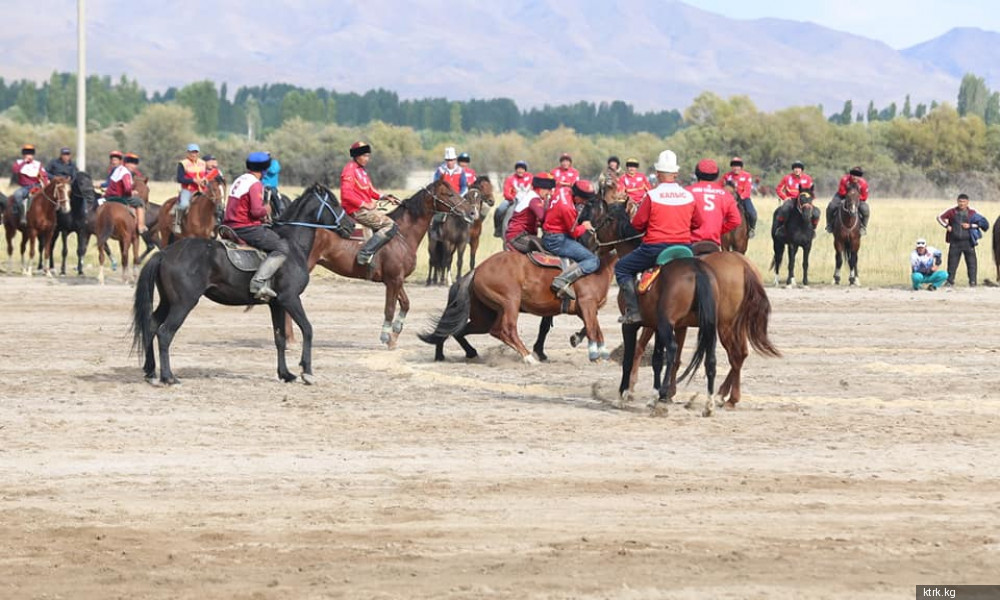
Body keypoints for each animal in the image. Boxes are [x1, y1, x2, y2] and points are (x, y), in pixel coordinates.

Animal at [133, 185, 344, 386]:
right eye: (334, 203)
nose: (349, 225)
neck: (292, 245)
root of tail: (165, 252)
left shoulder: (276, 304)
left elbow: (280, 338)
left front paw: (285, 374)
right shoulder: (290, 299)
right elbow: (307, 329)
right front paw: (307, 372)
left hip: (168, 301)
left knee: (151, 327)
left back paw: (151, 372)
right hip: (183, 304)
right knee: (165, 333)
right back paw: (168, 377)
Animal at [304, 178, 476, 346]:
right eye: (450, 194)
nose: (472, 212)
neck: (402, 234)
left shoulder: (396, 279)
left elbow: (405, 303)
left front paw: (395, 334)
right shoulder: (393, 280)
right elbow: (390, 308)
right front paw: (386, 336)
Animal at [418, 195, 612, 364]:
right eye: (607, 217)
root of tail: (477, 271)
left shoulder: (580, 307)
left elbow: (590, 326)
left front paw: (574, 341)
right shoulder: (582, 304)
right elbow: (581, 326)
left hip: (484, 316)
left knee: (459, 330)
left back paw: (466, 353)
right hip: (510, 302)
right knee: (504, 329)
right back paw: (528, 358)